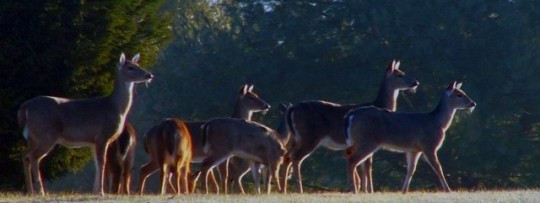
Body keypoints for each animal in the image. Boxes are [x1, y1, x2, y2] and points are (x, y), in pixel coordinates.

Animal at [17, 53, 153, 196]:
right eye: (130, 67)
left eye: (138, 64)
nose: (149, 75)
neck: (115, 107)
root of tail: (25, 108)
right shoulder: (102, 136)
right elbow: (102, 163)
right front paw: (101, 192)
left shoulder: (93, 141)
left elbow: (97, 165)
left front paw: (95, 191)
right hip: (46, 135)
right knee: (33, 157)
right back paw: (40, 191)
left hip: (33, 138)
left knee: (25, 156)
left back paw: (30, 191)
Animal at [280, 60, 420, 193]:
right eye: (399, 74)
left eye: (402, 71)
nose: (415, 82)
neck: (380, 104)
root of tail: (292, 108)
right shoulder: (369, 140)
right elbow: (368, 165)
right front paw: (369, 190)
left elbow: (363, 166)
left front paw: (363, 189)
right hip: (309, 137)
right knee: (296, 158)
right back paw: (299, 189)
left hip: (296, 138)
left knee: (286, 156)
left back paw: (284, 190)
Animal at [346, 81, 476, 193]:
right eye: (459, 94)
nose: (473, 103)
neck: (438, 123)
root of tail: (352, 115)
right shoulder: (429, 145)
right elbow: (438, 167)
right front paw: (448, 190)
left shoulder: (414, 149)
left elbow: (411, 169)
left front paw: (404, 191)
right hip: (367, 141)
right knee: (352, 161)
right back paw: (354, 190)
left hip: (360, 142)